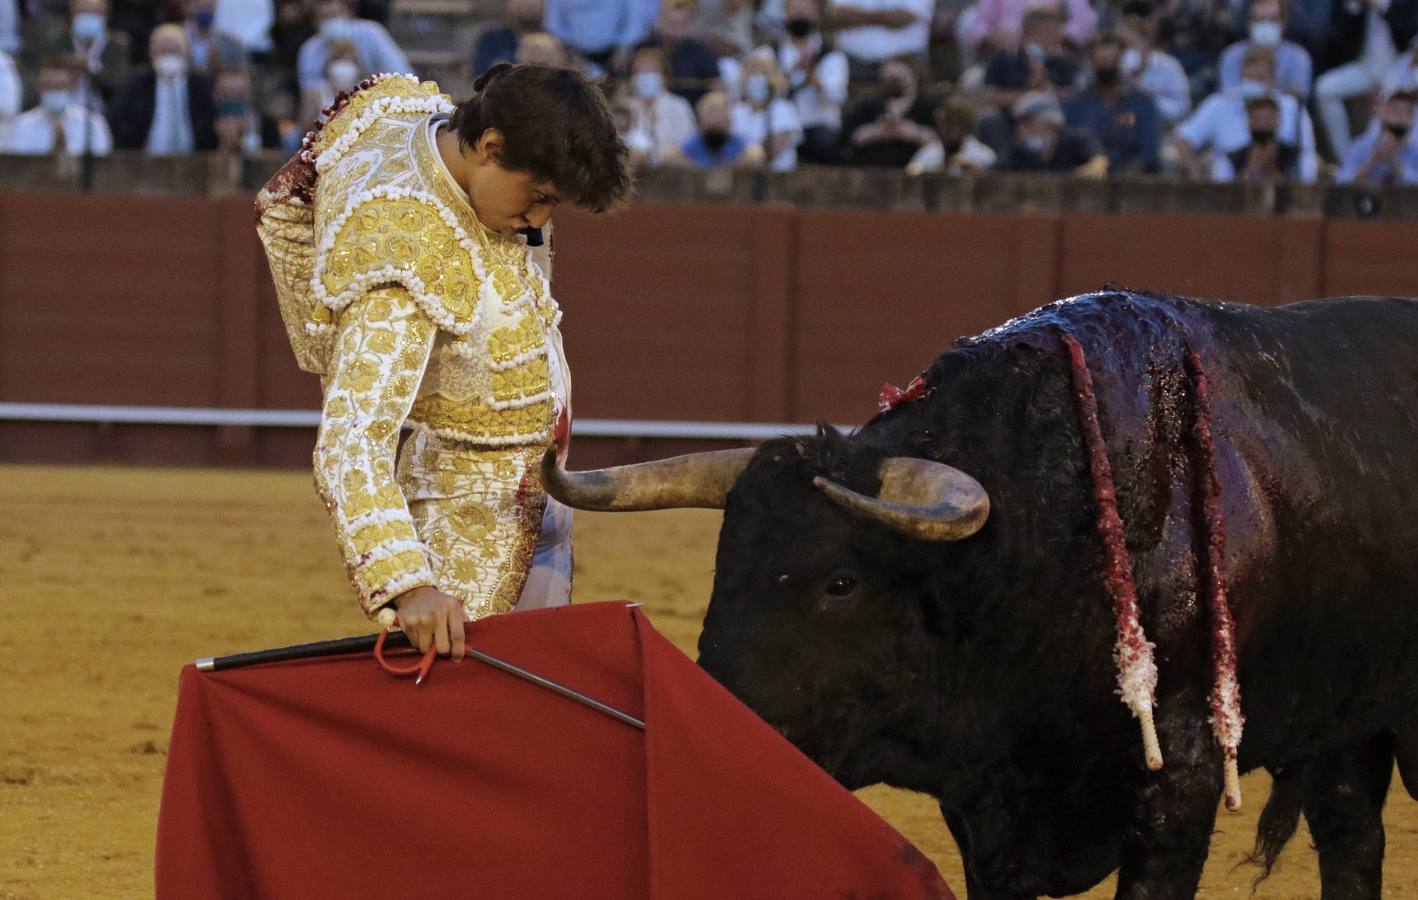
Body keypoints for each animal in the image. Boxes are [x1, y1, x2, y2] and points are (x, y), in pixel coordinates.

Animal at [544, 291, 1418, 895]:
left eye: (840, 583)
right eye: (726, 568)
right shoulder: (987, 810)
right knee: (1350, 837)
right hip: (1347, 726)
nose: (712, 725)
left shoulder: (1181, 777)